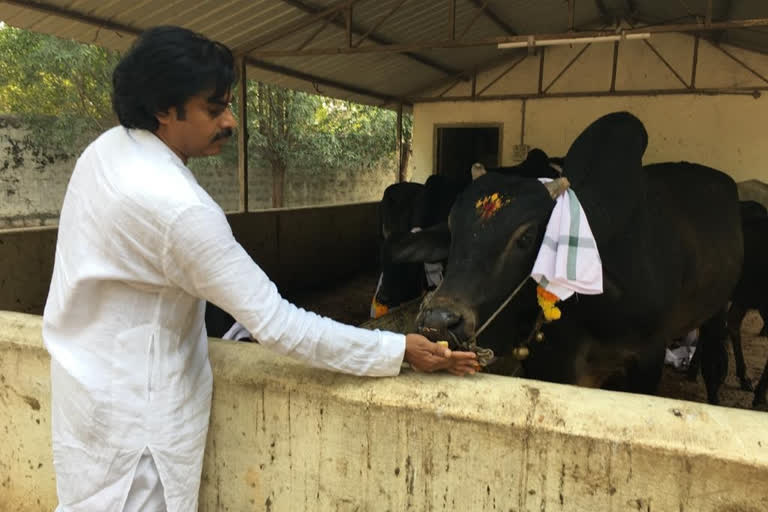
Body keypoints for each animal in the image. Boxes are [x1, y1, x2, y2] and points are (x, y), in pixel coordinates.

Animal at [404, 112, 740, 404]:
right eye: (452, 229)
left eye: (526, 237)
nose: (438, 322)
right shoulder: (551, 361)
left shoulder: (648, 358)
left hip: (718, 308)